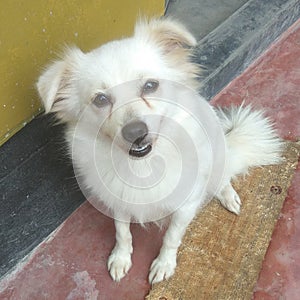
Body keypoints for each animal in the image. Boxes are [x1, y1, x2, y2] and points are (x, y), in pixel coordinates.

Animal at [36, 18, 282, 284]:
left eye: (150, 86)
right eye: (100, 99)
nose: (135, 132)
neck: (144, 166)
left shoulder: (185, 206)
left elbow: (171, 237)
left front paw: (164, 264)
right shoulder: (118, 200)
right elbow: (122, 232)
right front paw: (121, 258)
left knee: (223, 177)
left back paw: (228, 197)